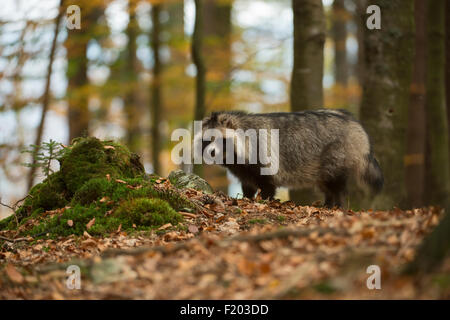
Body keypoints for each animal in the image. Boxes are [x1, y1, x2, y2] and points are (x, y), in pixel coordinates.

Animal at [200, 110, 384, 208]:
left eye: (221, 140)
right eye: (207, 140)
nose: (211, 153)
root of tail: (356, 125)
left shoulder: (262, 155)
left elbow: (267, 185)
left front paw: (265, 201)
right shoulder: (243, 168)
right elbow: (248, 185)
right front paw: (248, 198)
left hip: (337, 153)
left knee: (336, 185)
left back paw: (337, 205)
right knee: (326, 185)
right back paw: (328, 203)